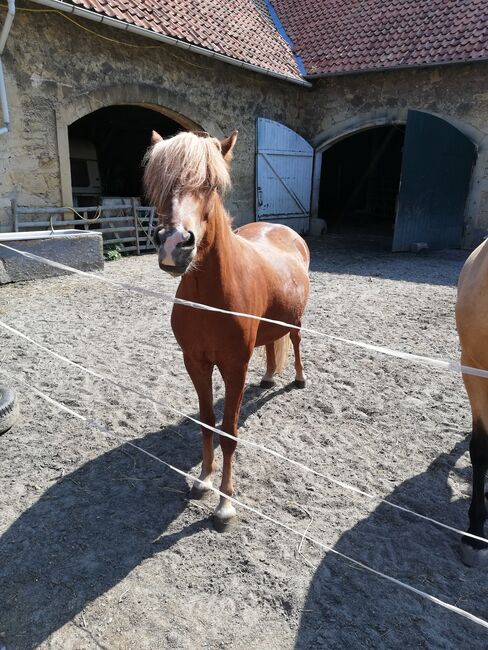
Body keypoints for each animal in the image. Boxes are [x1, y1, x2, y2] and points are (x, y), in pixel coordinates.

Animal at [143, 129, 308, 528]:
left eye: (211, 185)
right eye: (159, 183)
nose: (174, 244)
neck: (211, 298)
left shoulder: (234, 367)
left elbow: (229, 433)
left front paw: (225, 504)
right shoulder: (195, 363)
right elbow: (206, 423)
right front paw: (203, 481)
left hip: (295, 320)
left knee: (295, 342)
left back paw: (298, 378)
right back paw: (268, 378)